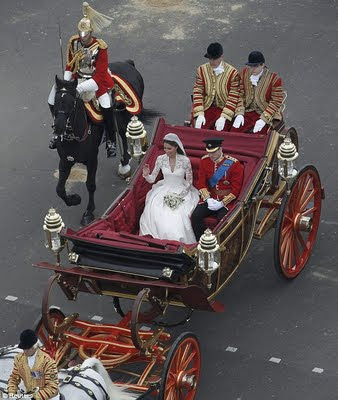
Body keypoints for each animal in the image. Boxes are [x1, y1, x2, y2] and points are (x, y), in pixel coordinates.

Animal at [52, 61, 152, 227]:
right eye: (55, 102)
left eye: (72, 102)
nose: (58, 127)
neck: (74, 136)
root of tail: (127, 63)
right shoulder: (65, 160)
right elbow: (59, 189)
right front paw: (74, 199)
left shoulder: (92, 159)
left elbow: (90, 184)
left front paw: (88, 212)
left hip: (127, 118)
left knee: (124, 137)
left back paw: (124, 165)